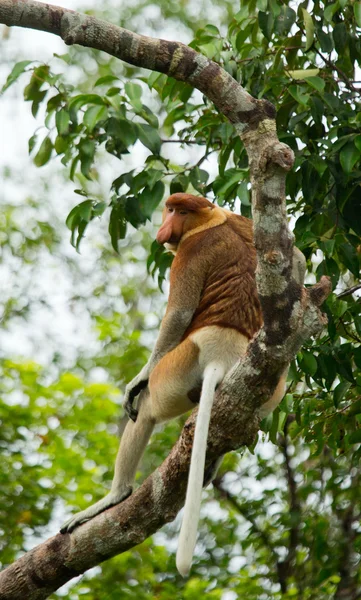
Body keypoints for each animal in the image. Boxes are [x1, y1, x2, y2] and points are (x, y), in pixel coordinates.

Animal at [61, 193, 298, 576]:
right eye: (170, 208)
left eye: (180, 211)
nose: (165, 226)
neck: (210, 221)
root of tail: (225, 356)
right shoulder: (244, 219)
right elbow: (297, 259)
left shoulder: (189, 252)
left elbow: (179, 314)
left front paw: (136, 382)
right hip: (268, 391)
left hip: (177, 369)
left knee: (145, 409)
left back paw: (115, 495)